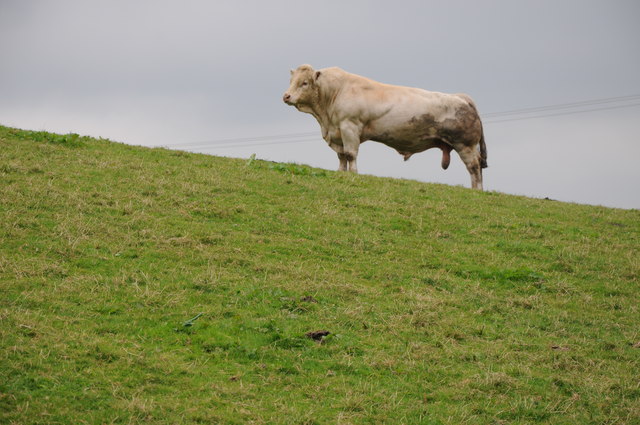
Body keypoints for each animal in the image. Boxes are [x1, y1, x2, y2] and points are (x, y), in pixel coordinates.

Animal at [282, 65, 488, 190]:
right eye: (291, 81)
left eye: (304, 82)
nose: (286, 96)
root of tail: (461, 97)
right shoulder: (337, 133)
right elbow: (341, 157)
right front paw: (341, 173)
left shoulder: (350, 127)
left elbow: (350, 154)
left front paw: (354, 173)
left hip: (465, 145)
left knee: (474, 166)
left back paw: (476, 190)